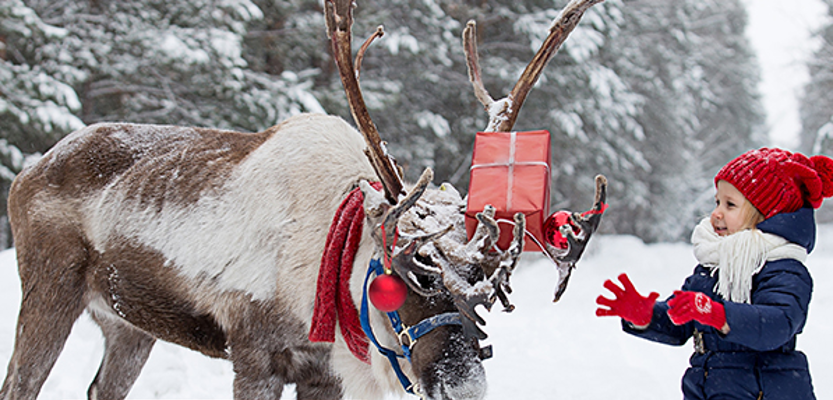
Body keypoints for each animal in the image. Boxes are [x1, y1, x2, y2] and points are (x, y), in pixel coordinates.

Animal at [0, 0, 606, 399]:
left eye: (488, 290)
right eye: (408, 273)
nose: (464, 388)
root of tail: (28, 172)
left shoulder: (322, 372)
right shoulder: (255, 356)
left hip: (127, 323)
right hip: (50, 289)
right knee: (19, 383)